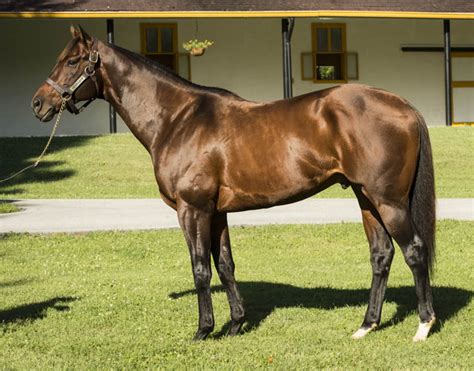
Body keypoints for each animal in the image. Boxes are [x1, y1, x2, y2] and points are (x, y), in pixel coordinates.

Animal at [31, 24, 436, 342]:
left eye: (71, 62)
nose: (38, 103)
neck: (178, 119)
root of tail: (403, 106)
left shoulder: (191, 209)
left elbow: (200, 269)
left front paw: (203, 330)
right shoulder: (216, 213)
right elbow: (225, 265)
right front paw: (236, 324)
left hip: (388, 201)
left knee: (414, 251)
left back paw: (423, 326)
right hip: (365, 198)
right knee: (381, 254)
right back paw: (367, 325)